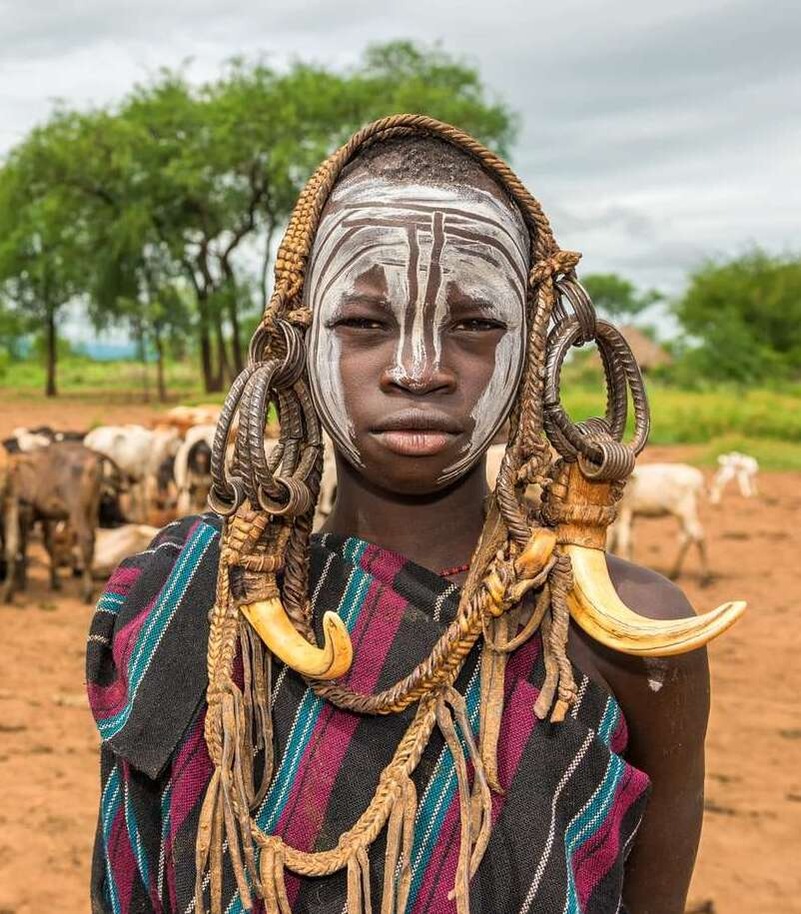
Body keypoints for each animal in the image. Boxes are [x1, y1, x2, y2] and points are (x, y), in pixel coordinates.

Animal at [3, 444, 104, 604]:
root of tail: (94, 459)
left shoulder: (23, 511)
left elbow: (19, 545)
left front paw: (18, 584)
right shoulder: (45, 517)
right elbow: (48, 544)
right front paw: (54, 581)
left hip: (77, 510)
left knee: (86, 540)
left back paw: (87, 593)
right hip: (92, 509)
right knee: (93, 539)